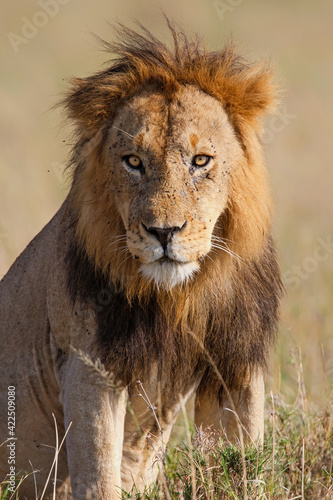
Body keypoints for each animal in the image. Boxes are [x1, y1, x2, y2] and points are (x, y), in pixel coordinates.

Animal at [0, 22, 282, 500]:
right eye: (133, 162)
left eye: (200, 161)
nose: (163, 232)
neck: (176, 297)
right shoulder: (89, 369)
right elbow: (100, 479)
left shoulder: (235, 364)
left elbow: (243, 466)